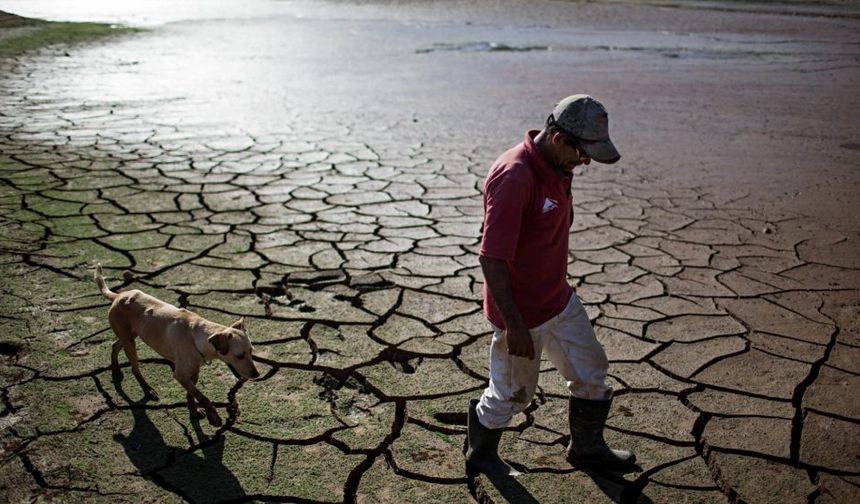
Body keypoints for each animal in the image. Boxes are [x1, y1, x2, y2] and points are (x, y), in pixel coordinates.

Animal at [95, 264, 258, 426]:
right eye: (239, 356)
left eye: (251, 352)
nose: (257, 375)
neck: (196, 335)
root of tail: (118, 295)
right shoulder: (179, 374)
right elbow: (201, 395)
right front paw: (213, 415)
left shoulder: (194, 370)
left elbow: (192, 393)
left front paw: (193, 410)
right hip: (129, 341)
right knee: (135, 368)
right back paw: (147, 389)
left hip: (131, 335)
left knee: (115, 345)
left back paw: (116, 370)